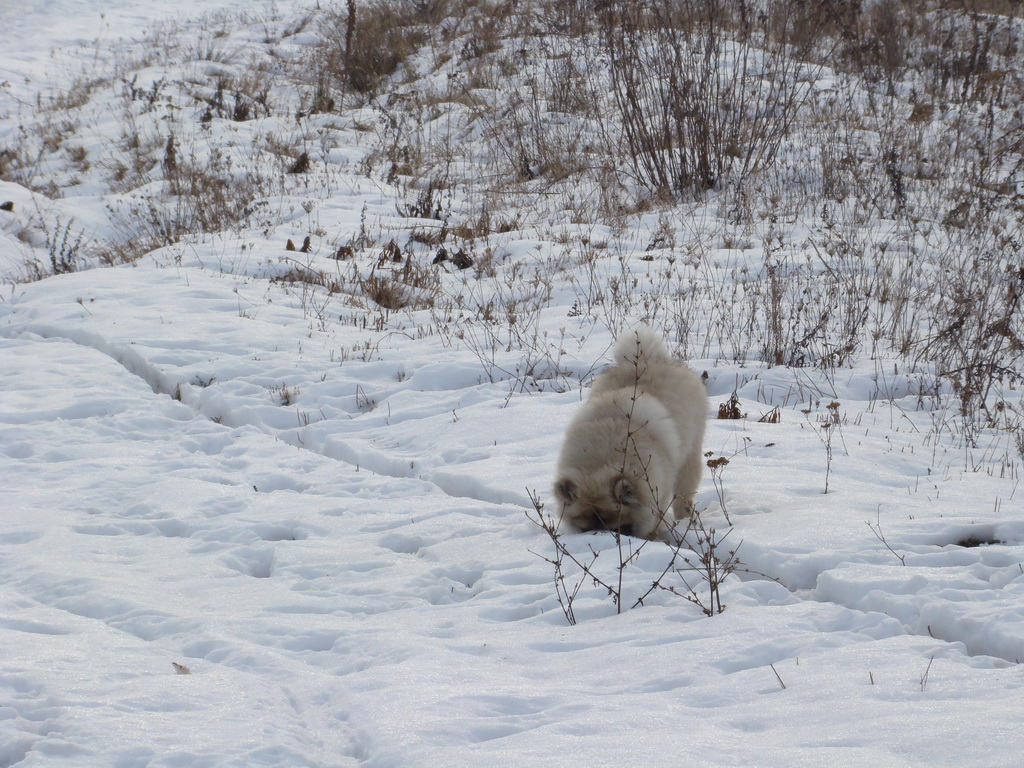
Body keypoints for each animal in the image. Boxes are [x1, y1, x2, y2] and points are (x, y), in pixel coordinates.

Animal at [557, 327, 708, 536]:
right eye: (586, 528)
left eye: (619, 529)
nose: (601, 536)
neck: (602, 462)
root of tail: (647, 357)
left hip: (688, 459)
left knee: (683, 498)